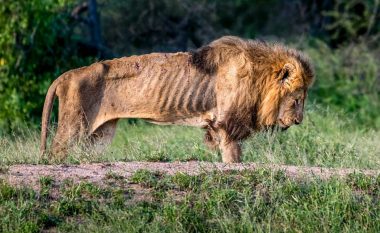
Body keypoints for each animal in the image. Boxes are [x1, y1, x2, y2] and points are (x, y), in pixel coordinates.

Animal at [40, 36, 314, 162]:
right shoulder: (228, 124)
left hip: (99, 134)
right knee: (55, 153)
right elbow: (233, 157)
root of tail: (67, 74)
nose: (299, 121)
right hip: (74, 126)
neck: (259, 77)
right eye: (297, 99)